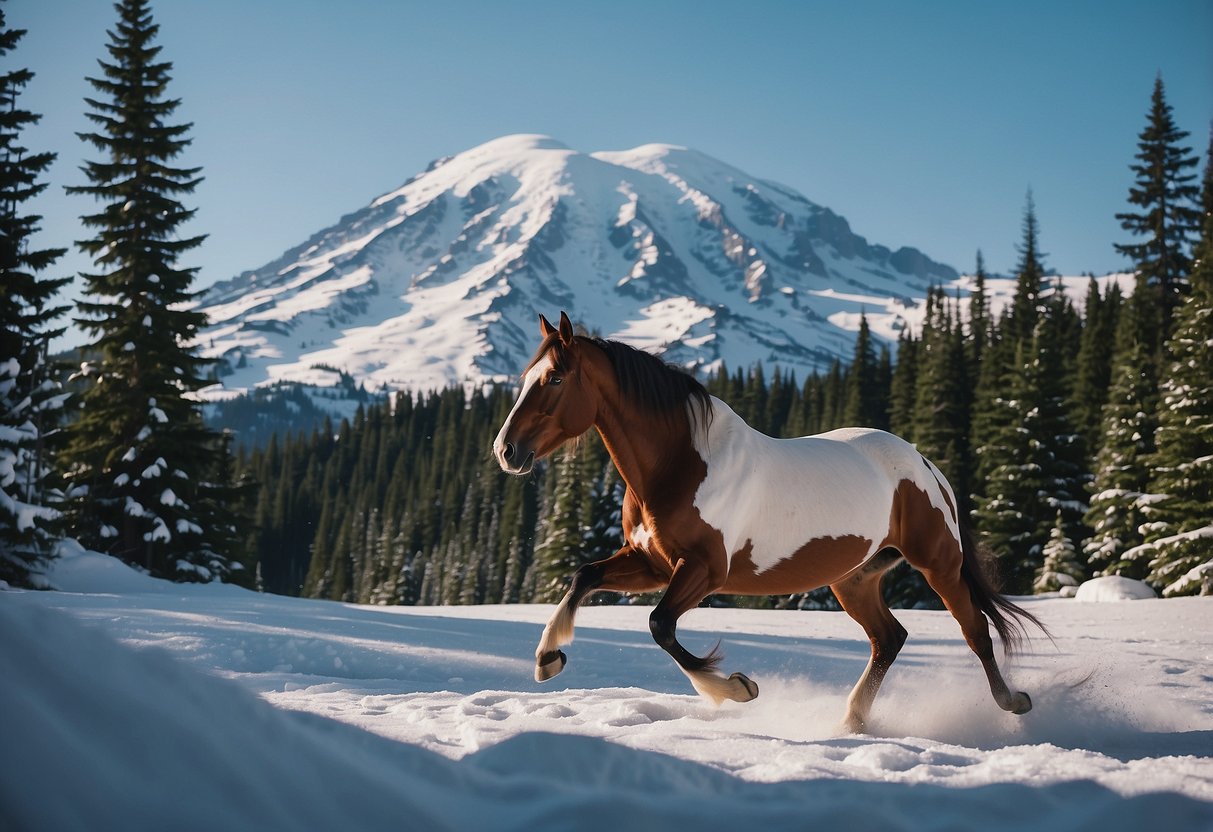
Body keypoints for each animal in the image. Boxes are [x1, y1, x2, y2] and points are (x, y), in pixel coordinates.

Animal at [492, 315, 1043, 737]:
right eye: (527, 375)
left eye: (555, 379)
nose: (506, 450)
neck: (682, 464)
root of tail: (926, 465)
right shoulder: (653, 563)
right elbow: (584, 577)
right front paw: (547, 659)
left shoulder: (704, 571)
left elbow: (659, 625)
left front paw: (737, 688)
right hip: (854, 579)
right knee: (890, 638)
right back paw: (852, 720)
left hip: (937, 564)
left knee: (974, 630)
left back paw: (1013, 703)